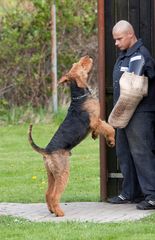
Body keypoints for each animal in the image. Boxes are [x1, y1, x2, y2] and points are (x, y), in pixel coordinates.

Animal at [28, 55, 114, 217]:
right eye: (79, 65)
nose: (87, 56)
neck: (79, 96)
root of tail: (46, 151)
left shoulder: (95, 123)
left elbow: (100, 129)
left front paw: (95, 136)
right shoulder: (95, 120)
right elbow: (108, 128)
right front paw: (111, 141)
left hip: (51, 174)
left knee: (48, 193)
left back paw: (52, 210)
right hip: (63, 173)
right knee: (55, 195)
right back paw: (59, 213)